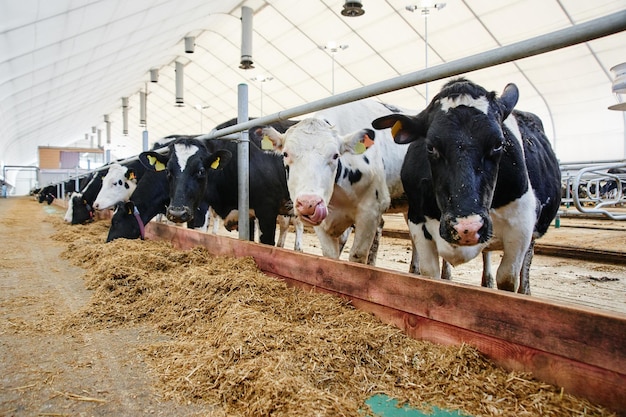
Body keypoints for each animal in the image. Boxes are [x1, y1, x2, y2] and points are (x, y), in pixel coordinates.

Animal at [370, 78, 560, 292]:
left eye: (499, 144)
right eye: (430, 146)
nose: (466, 228)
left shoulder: (522, 226)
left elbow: (507, 279)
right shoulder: (417, 220)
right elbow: (430, 274)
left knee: (525, 260)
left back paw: (520, 289)